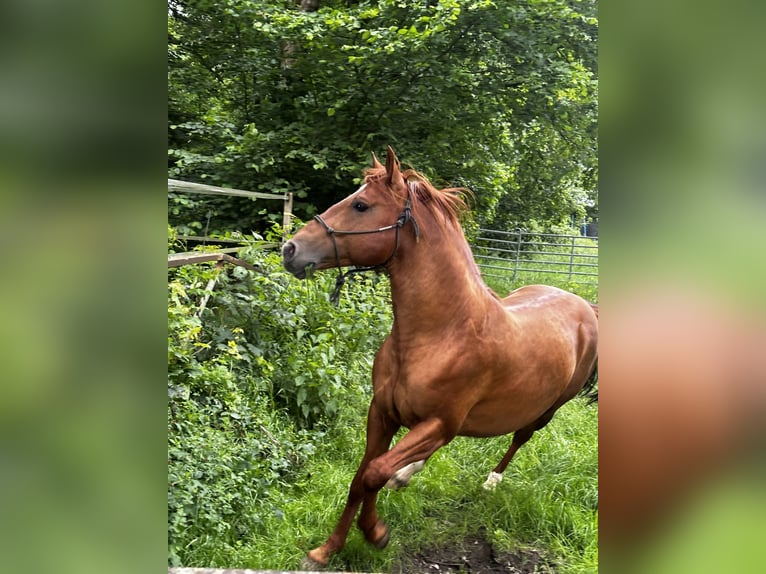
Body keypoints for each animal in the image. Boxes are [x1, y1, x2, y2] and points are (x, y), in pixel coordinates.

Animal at [282, 147, 600, 568]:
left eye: (361, 205)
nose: (290, 249)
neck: (441, 334)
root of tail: (585, 307)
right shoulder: (382, 414)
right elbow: (360, 477)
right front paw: (324, 551)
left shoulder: (440, 421)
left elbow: (374, 473)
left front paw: (376, 533)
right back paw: (406, 473)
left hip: (545, 410)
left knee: (520, 436)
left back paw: (490, 481)